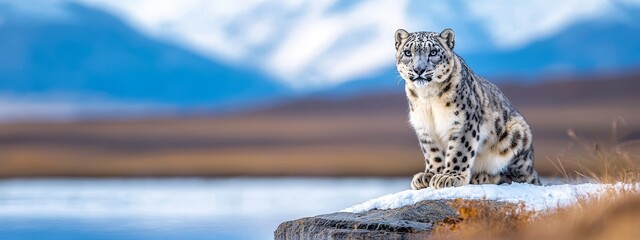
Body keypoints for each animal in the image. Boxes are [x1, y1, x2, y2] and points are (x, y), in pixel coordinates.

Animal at [396, 28, 540, 189]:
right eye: (408, 53)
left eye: (433, 52)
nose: (418, 69)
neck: (428, 96)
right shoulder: (424, 126)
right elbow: (432, 153)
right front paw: (429, 175)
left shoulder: (462, 122)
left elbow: (459, 151)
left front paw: (450, 176)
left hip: (516, 134)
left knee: (517, 177)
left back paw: (483, 177)